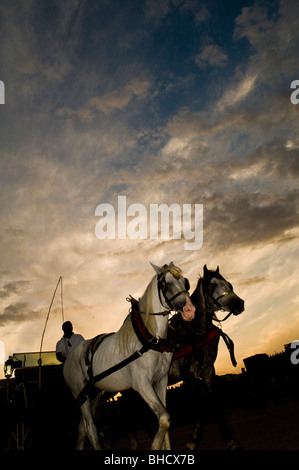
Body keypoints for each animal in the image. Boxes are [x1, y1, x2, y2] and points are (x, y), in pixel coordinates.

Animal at [63, 262, 196, 450]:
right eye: (166, 283)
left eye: (186, 282)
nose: (189, 310)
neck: (150, 338)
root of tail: (69, 358)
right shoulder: (141, 384)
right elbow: (164, 418)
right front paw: (154, 446)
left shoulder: (161, 380)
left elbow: (166, 419)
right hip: (79, 393)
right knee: (90, 428)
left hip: (93, 394)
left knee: (82, 428)